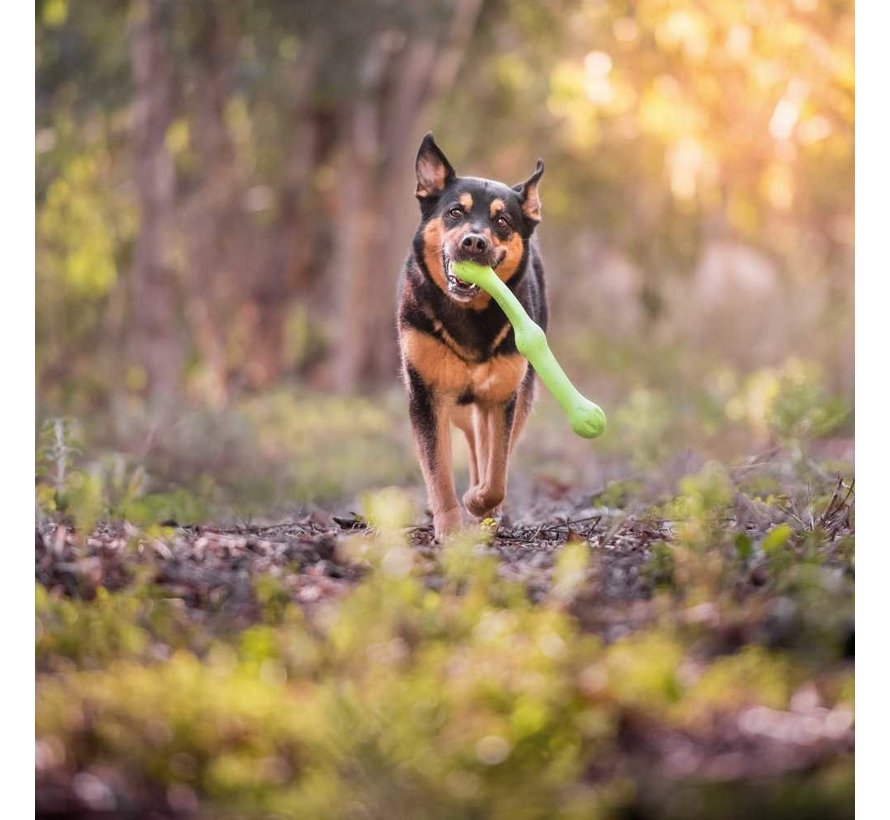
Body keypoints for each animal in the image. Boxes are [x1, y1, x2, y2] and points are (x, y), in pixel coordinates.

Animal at [398, 133, 548, 544]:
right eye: (454, 212)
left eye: (501, 221)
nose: (474, 242)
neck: (468, 315)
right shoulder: (426, 398)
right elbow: (438, 472)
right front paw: (449, 527)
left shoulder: (502, 397)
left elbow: (496, 470)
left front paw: (480, 503)